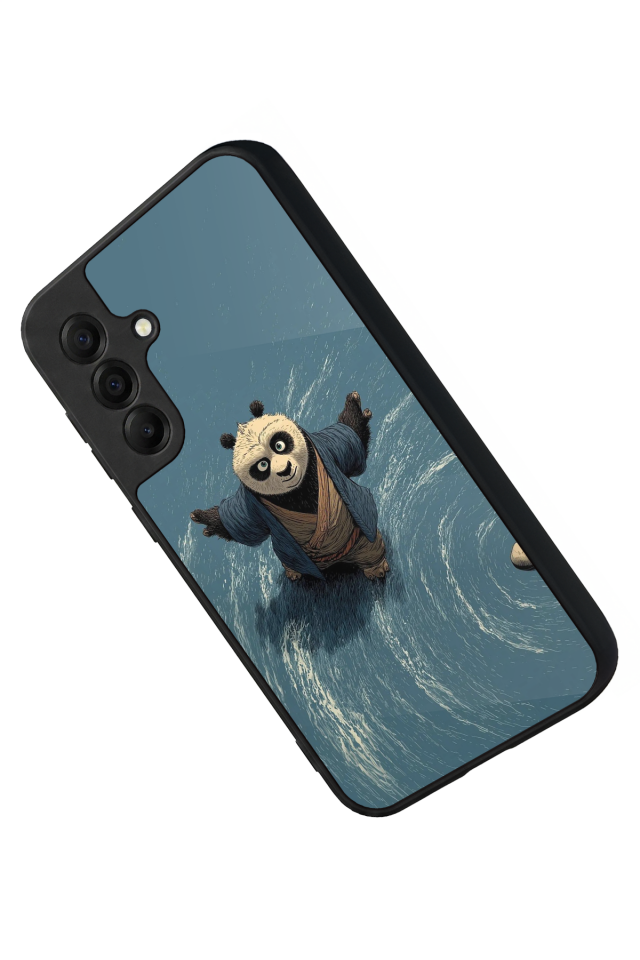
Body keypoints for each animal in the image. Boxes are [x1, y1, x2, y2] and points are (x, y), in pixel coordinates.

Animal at [190, 392, 389, 581]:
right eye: (262, 465)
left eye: (279, 445)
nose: (284, 470)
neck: (298, 490)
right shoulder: (251, 503)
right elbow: (244, 523)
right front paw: (205, 519)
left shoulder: (326, 448)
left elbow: (350, 438)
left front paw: (354, 408)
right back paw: (294, 572)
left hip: (360, 540)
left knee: (370, 549)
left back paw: (376, 568)